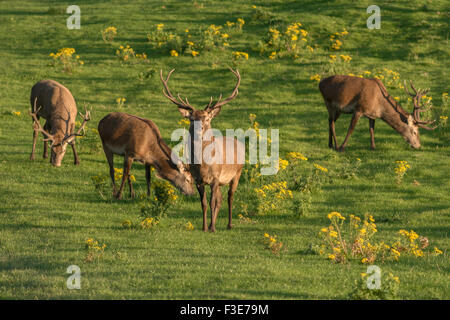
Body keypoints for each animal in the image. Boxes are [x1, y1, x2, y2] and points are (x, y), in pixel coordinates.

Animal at [160, 68, 244, 232]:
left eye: (207, 118)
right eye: (192, 118)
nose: (199, 129)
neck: (203, 165)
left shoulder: (216, 178)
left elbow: (212, 203)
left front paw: (212, 228)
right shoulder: (199, 180)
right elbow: (204, 203)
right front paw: (205, 227)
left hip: (237, 173)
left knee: (230, 197)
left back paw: (229, 224)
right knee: (220, 198)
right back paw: (213, 224)